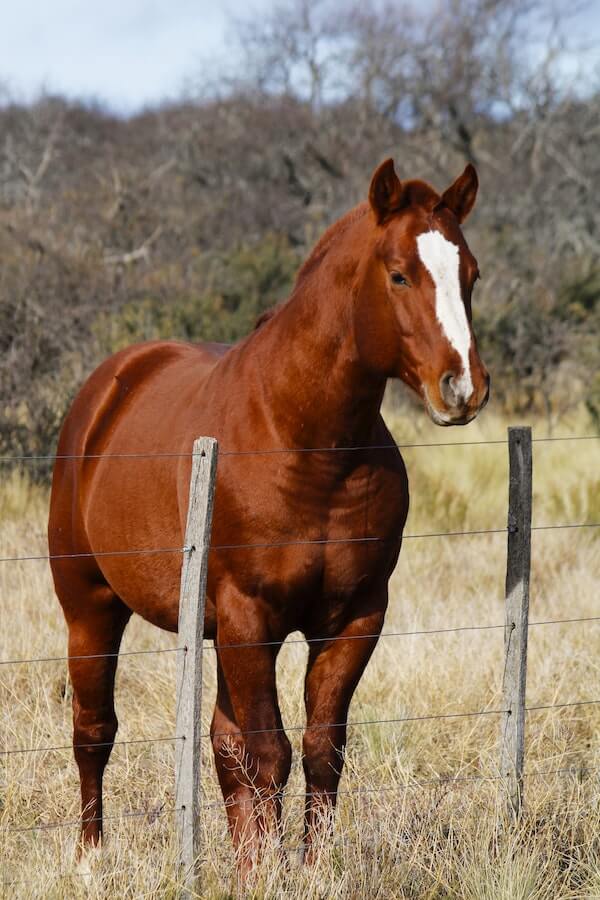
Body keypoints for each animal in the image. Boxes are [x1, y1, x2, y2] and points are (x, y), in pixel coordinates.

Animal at [48, 158, 489, 873]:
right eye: (399, 274)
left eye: (471, 274)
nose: (463, 388)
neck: (305, 443)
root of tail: (111, 385)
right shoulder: (249, 617)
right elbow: (267, 752)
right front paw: (269, 872)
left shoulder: (353, 619)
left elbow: (319, 748)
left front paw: (306, 867)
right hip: (89, 607)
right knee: (94, 732)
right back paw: (91, 854)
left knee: (222, 742)